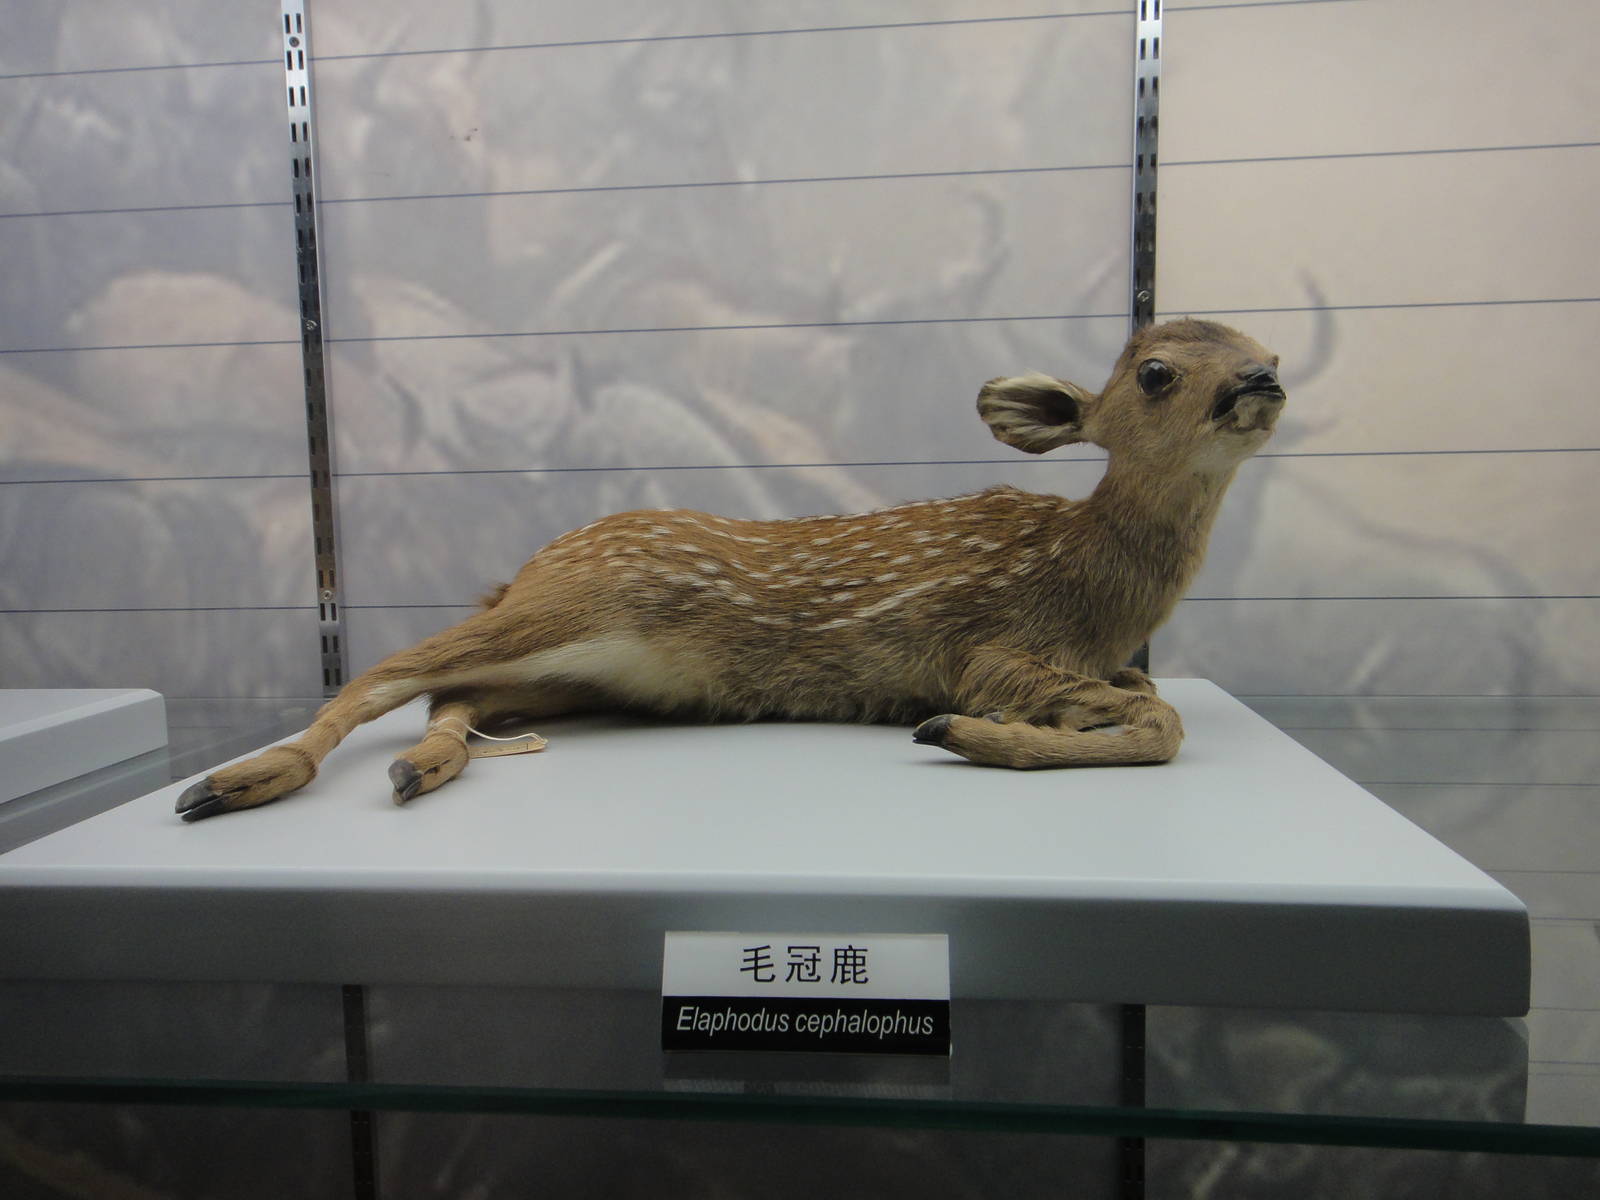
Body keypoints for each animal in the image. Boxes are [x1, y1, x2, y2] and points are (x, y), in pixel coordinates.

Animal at [175, 318, 1285, 821]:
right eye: (1155, 372)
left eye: (1264, 346)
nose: (1262, 381)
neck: (1094, 582)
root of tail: (528, 565)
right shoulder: (985, 643)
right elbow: (1163, 721)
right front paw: (966, 734)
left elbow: (1149, 697)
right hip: (568, 603)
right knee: (381, 673)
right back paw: (235, 780)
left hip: (583, 673)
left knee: (455, 697)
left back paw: (421, 768)